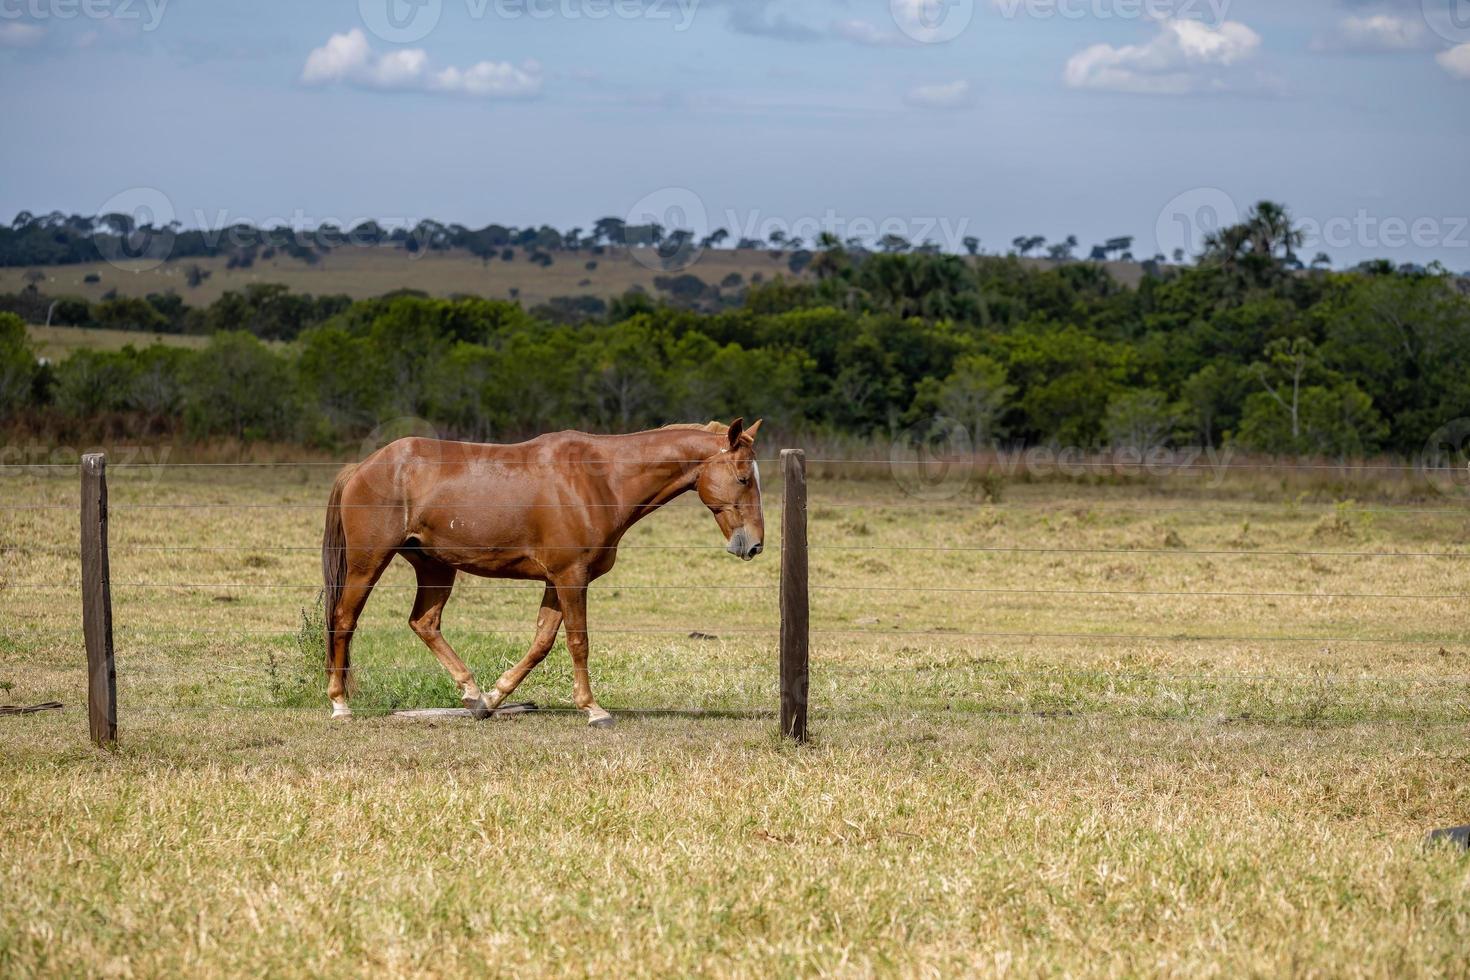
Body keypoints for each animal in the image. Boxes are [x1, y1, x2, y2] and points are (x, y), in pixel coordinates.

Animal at [323, 417, 770, 725]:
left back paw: (471, 692)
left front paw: (494, 698)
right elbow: (578, 642)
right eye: (743, 479)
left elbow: (541, 643)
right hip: (368, 563)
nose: (753, 544)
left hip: (435, 567)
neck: (601, 479)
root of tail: (362, 467)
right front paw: (593, 709)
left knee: (424, 623)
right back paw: (339, 703)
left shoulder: (557, 581)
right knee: (344, 620)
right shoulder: (571, 578)